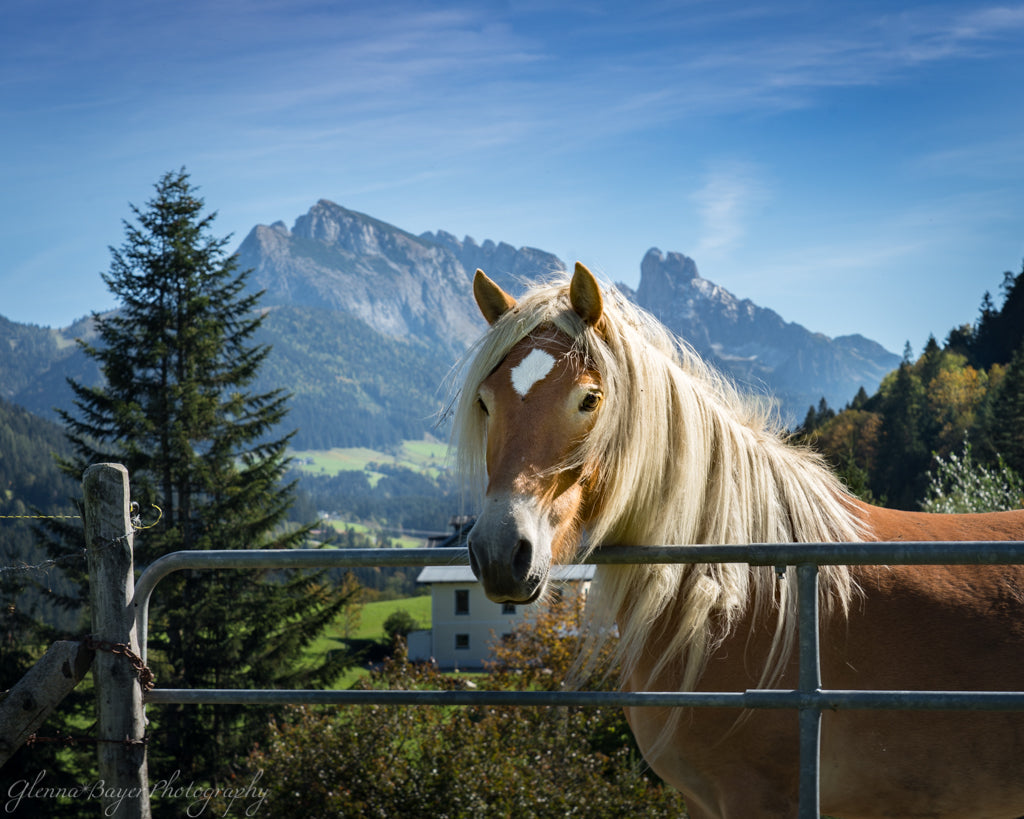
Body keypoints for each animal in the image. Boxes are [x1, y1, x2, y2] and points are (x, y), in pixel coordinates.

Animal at [451, 262, 1024, 819]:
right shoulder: (701, 800)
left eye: (589, 398)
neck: (736, 589)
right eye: (484, 402)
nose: (500, 552)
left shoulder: (758, 798)